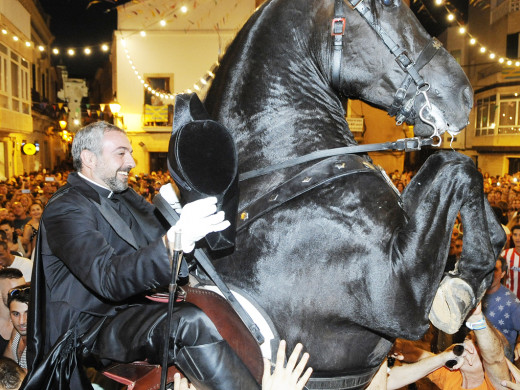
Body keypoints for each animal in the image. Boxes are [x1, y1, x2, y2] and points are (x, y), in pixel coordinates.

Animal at [201, 0, 506, 386]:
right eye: (389, 4)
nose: (464, 96)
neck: (281, 167)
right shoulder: (398, 292)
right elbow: (457, 163)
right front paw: (460, 289)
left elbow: (460, 170)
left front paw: (488, 246)